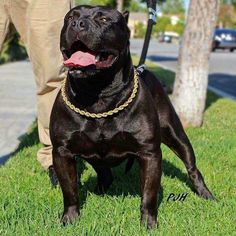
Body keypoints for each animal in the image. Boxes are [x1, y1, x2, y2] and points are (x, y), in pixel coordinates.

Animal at [49, 5, 214, 229]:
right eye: (70, 17)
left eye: (103, 19)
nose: (77, 24)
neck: (98, 96)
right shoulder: (62, 152)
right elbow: (70, 191)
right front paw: (70, 218)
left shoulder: (149, 153)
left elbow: (149, 194)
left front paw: (149, 223)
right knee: (104, 171)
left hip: (176, 135)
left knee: (192, 167)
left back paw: (205, 194)